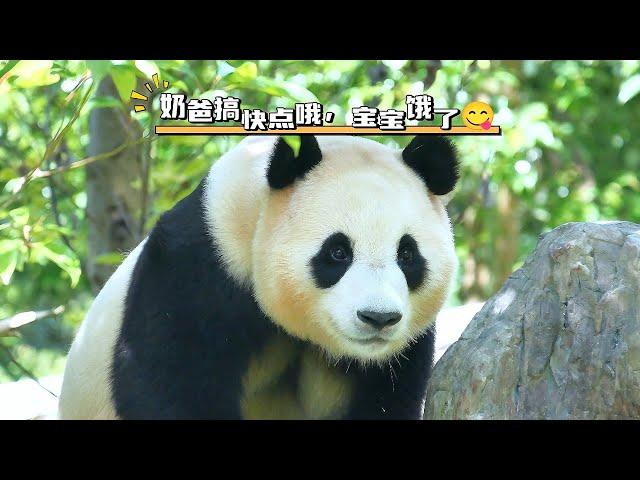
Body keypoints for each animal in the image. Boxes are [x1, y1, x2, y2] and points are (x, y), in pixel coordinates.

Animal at [58, 135, 460, 420]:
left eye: (407, 255)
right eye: (337, 252)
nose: (378, 318)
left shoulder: (393, 359)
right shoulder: (196, 270)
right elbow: (167, 382)